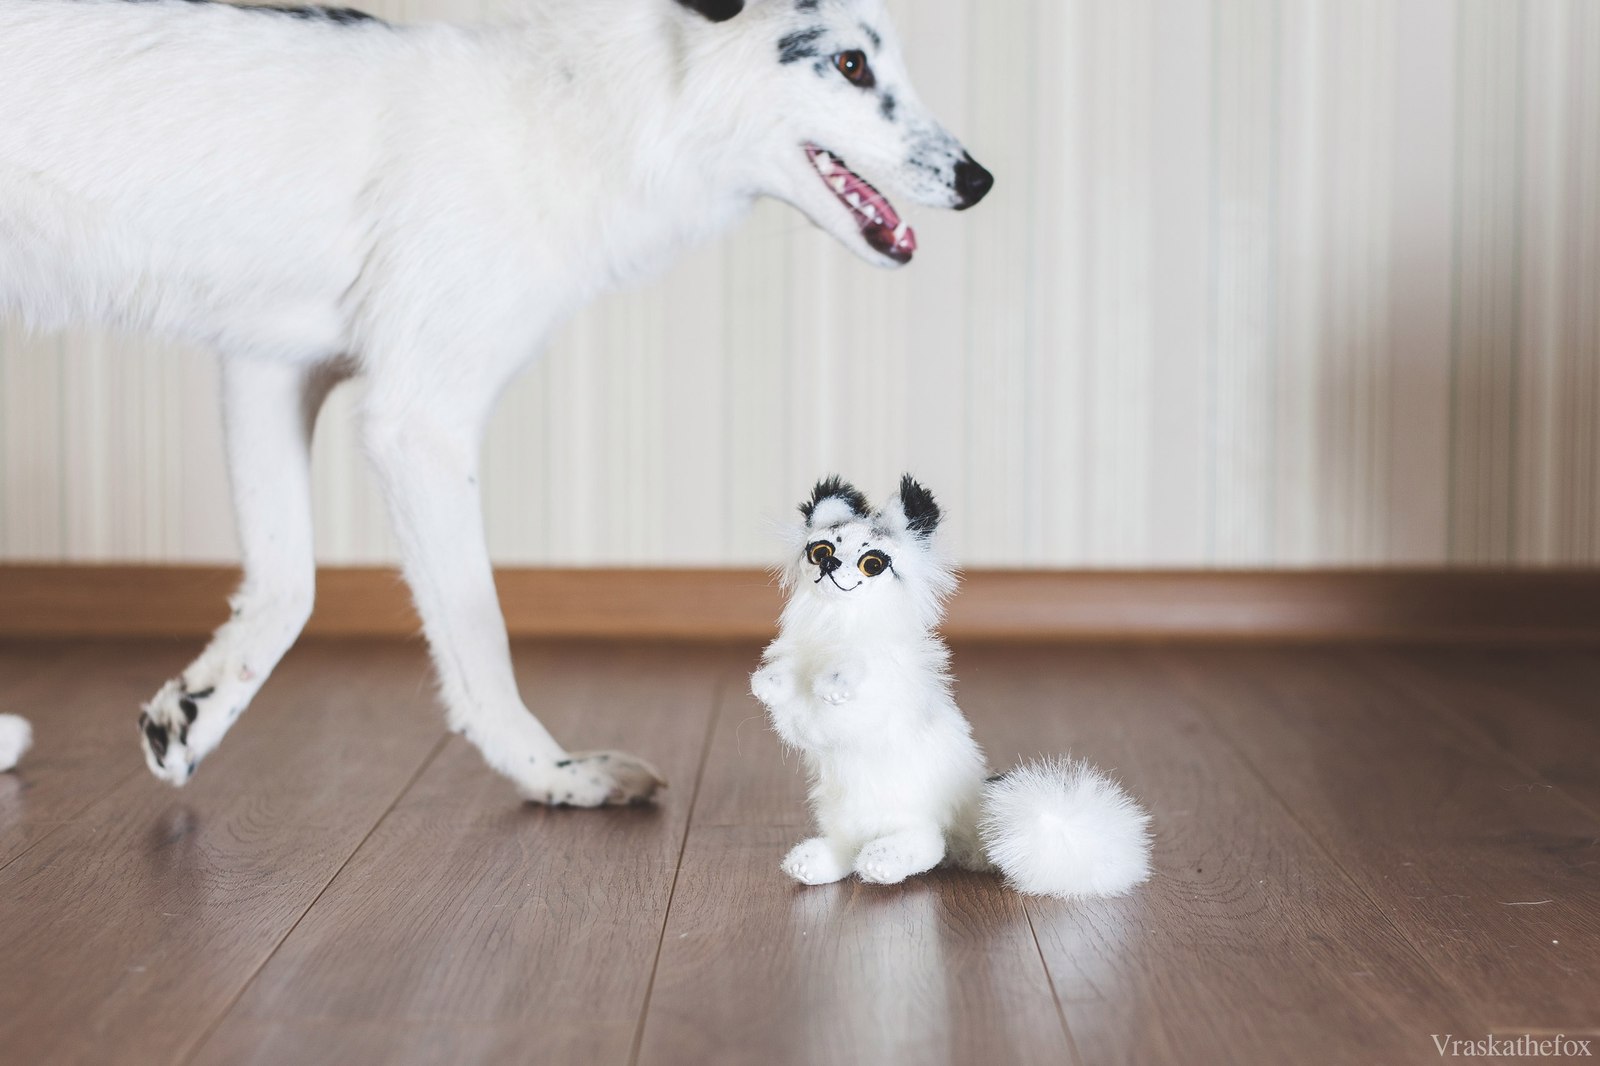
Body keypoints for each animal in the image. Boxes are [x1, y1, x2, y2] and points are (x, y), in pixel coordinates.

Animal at [0, 0, 992, 797]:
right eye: (853, 65)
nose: (980, 180)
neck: (569, 116)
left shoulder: (267, 367)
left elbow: (288, 590)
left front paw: (191, 714)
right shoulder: (417, 421)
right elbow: (479, 634)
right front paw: (554, 773)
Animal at [748, 476, 1152, 889]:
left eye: (872, 563)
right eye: (820, 550)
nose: (828, 563)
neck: (837, 624)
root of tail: (972, 811)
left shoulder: (874, 706)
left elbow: (853, 674)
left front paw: (833, 680)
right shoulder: (805, 718)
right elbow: (793, 682)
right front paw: (769, 683)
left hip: (907, 815)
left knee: (929, 845)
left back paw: (881, 862)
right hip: (841, 814)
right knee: (849, 847)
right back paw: (810, 863)